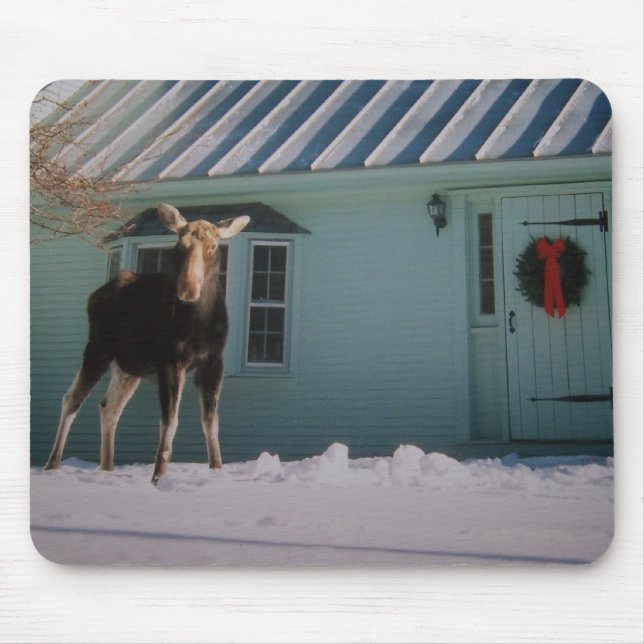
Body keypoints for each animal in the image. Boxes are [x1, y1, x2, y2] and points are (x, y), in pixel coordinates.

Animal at [44, 203, 250, 484]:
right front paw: (157, 477)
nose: (187, 290)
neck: (198, 322)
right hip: (98, 347)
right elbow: (170, 421)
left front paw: (217, 469)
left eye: (212, 246)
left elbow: (211, 421)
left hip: (128, 367)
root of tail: (96, 294)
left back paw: (107, 468)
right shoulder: (170, 362)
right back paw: (52, 465)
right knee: (72, 399)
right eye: (180, 245)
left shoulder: (213, 362)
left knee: (109, 407)